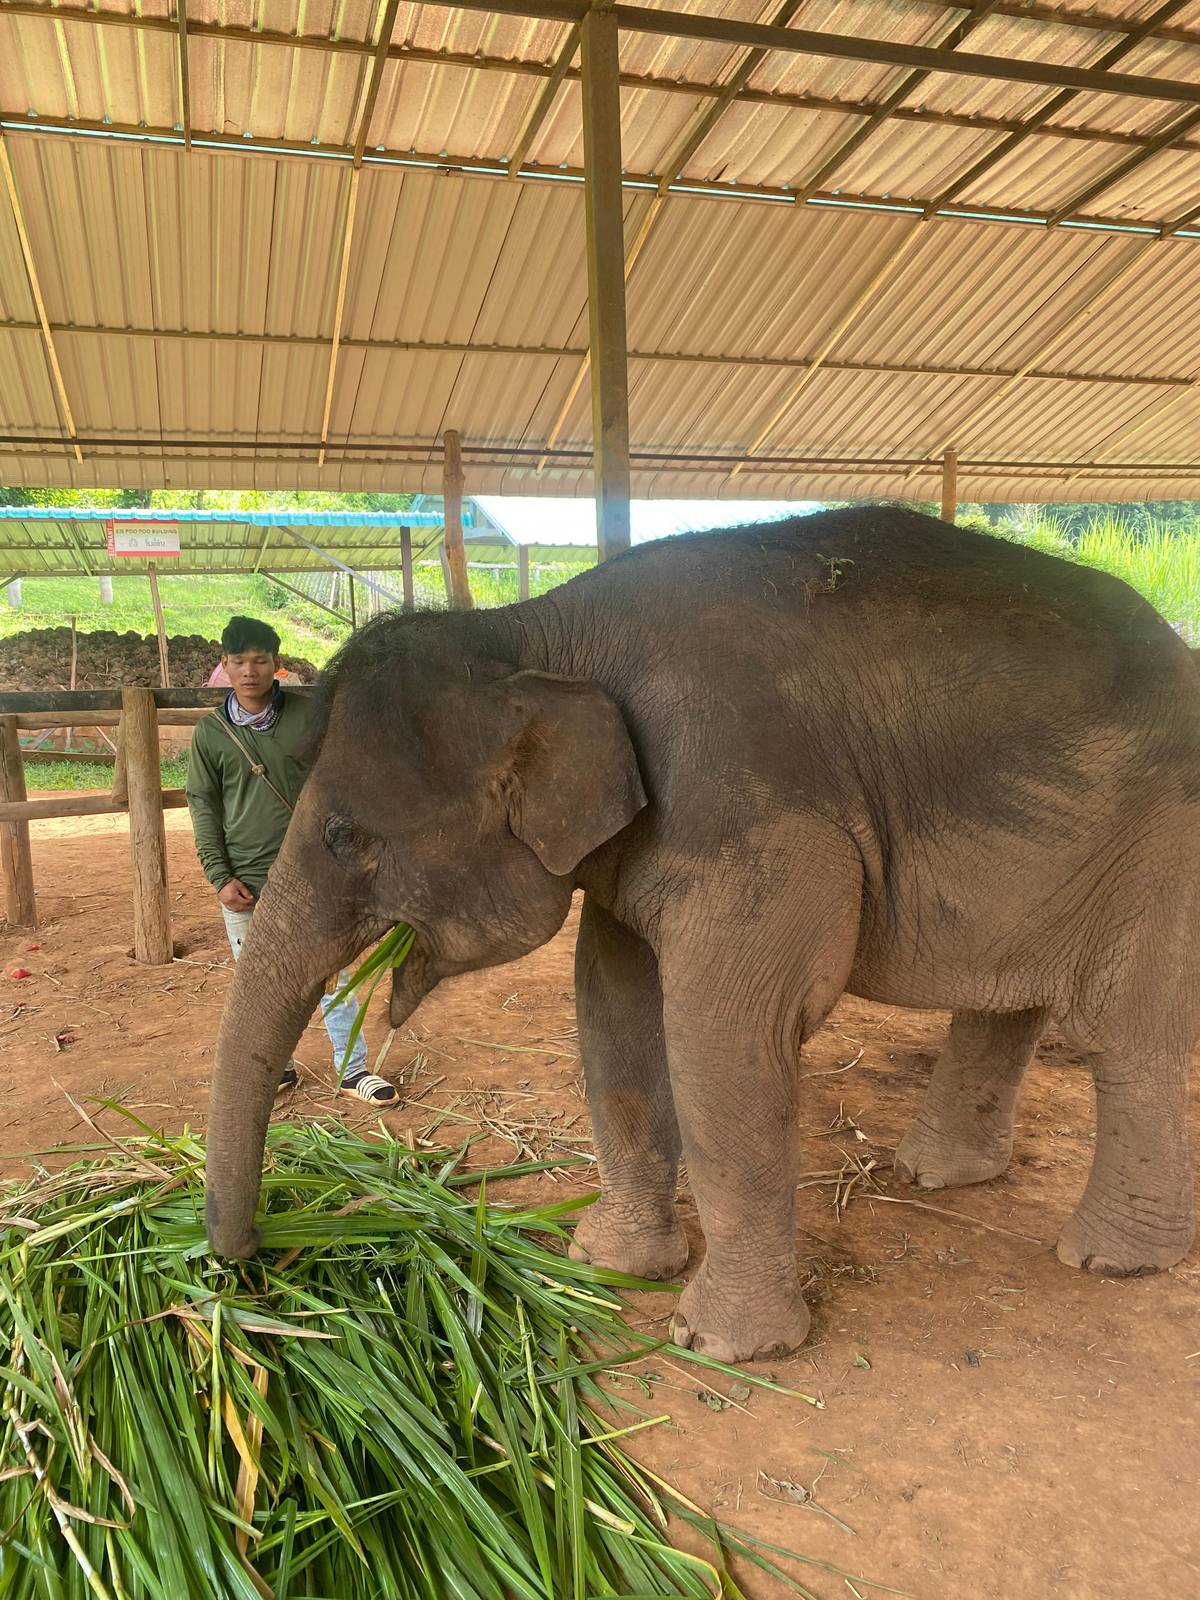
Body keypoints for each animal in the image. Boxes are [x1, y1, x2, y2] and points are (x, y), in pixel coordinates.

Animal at [204, 507, 1200, 1363]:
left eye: (346, 837)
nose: (243, 1263)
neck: (534, 634)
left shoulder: (749, 811)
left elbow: (726, 1038)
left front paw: (723, 1346)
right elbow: (615, 1015)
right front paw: (604, 1264)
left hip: (1163, 852)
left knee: (1128, 1033)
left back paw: (1110, 1259)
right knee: (1014, 1002)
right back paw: (938, 1179)